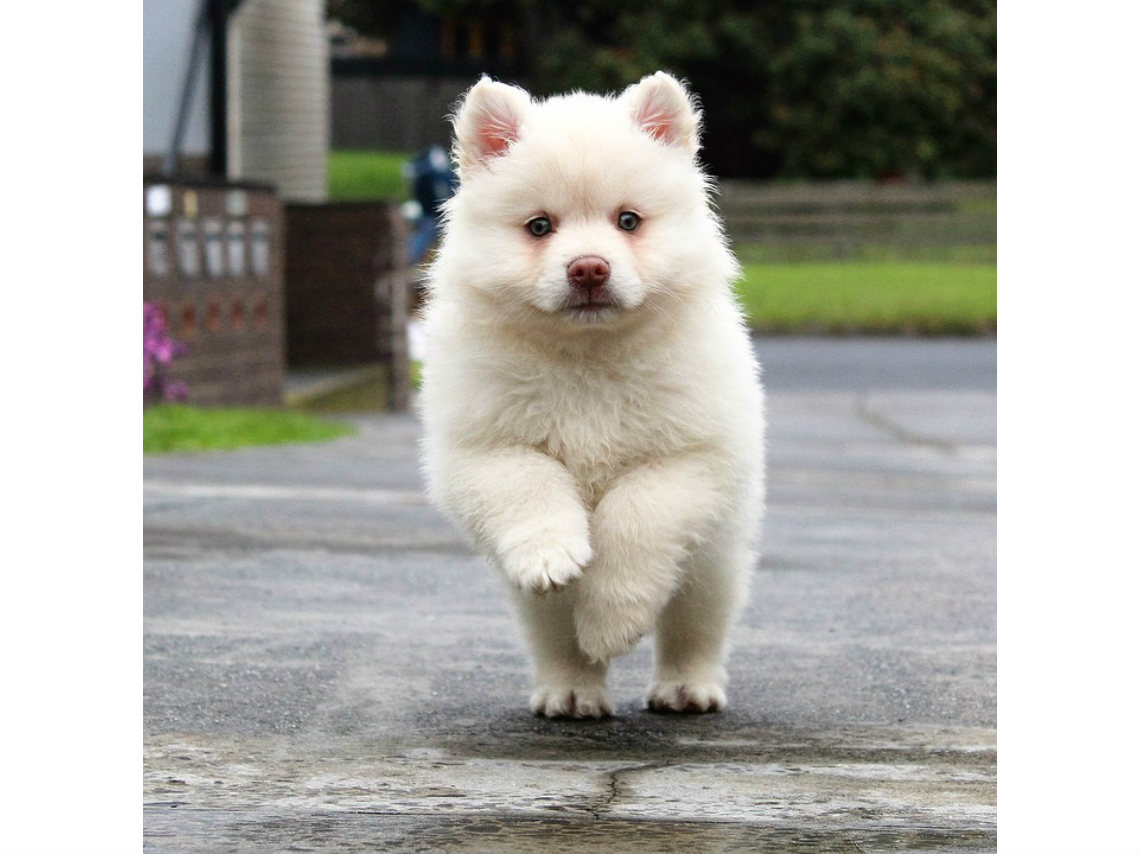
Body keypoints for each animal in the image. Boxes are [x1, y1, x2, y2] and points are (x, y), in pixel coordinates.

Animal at [421, 69, 766, 716]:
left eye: (628, 221)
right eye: (539, 227)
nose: (587, 269)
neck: (587, 357)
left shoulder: (692, 457)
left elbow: (636, 513)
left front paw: (613, 620)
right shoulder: (482, 446)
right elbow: (530, 482)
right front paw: (552, 554)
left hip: (713, 559)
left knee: (694, 625)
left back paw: (687, 687)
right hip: (538, 606)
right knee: (557, 634)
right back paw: (571, 691)